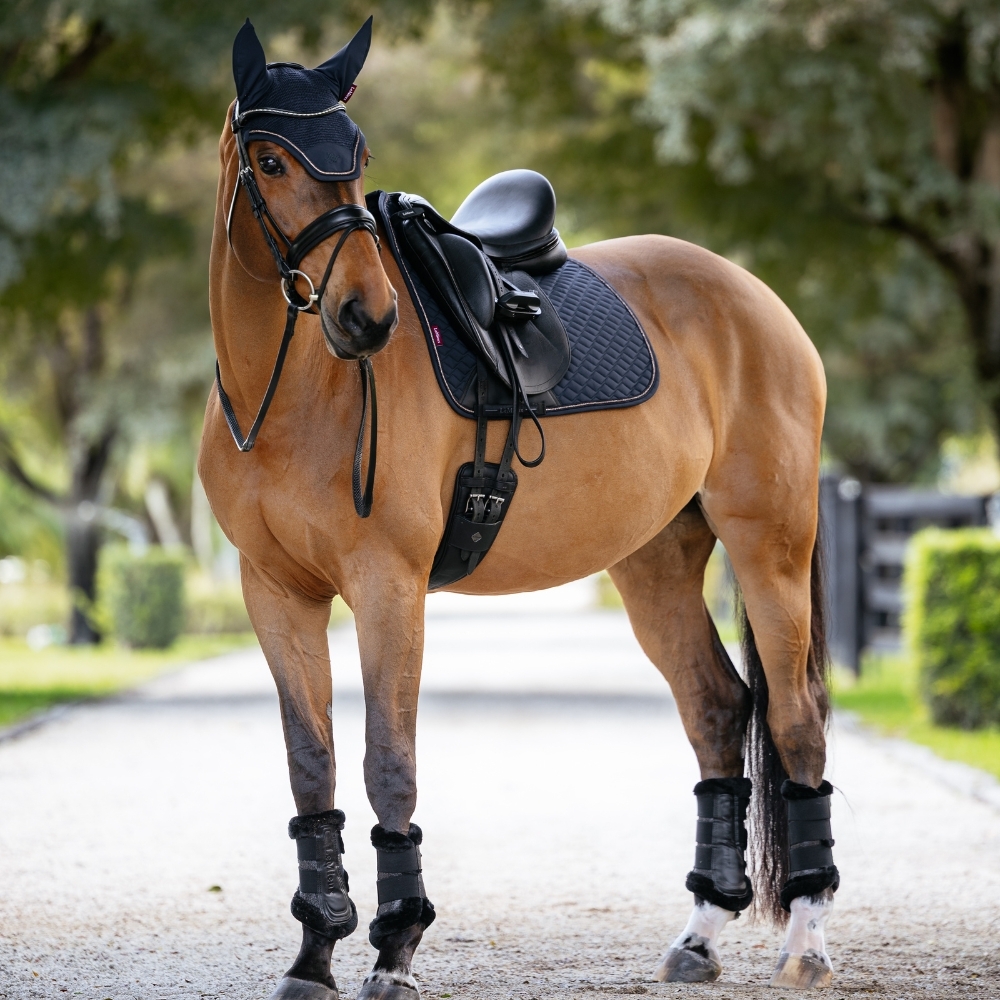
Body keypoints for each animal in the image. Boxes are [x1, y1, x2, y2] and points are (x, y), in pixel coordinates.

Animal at [199, 19, 837, 1000]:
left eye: (358, 153)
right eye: (270, 161)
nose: (366, 315)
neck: (294, 396)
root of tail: (754, 297)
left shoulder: (387, 587)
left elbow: (389, 763)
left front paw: (395, 946)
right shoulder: (275, 591)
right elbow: (313, 768)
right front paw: (314, 952)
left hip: (770, 546)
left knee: (796, 721)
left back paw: (804, 940)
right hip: (655, 561)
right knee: (717, 708)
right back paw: (700, 936)